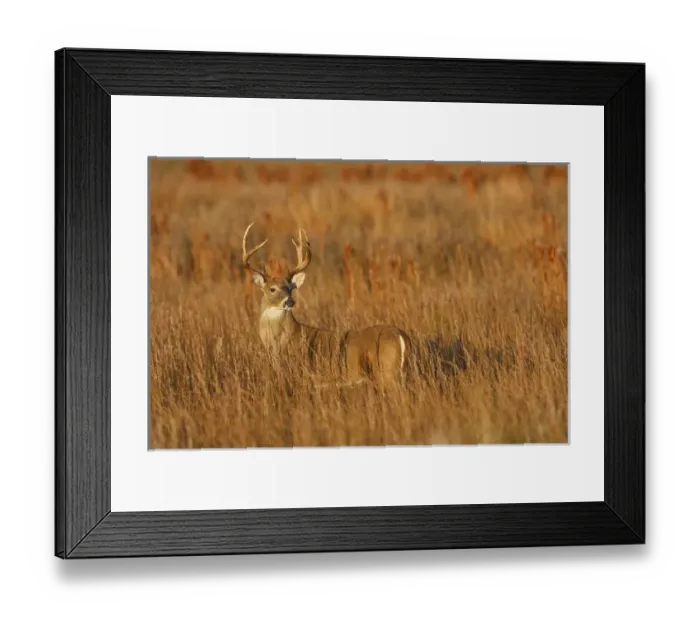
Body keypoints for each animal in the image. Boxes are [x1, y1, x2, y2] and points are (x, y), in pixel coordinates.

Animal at [242, 222, 411, 388]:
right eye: (272, 289)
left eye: (290, 288)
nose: (289, 301)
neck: (280, 342)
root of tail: (401, 336)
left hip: (387, 372)